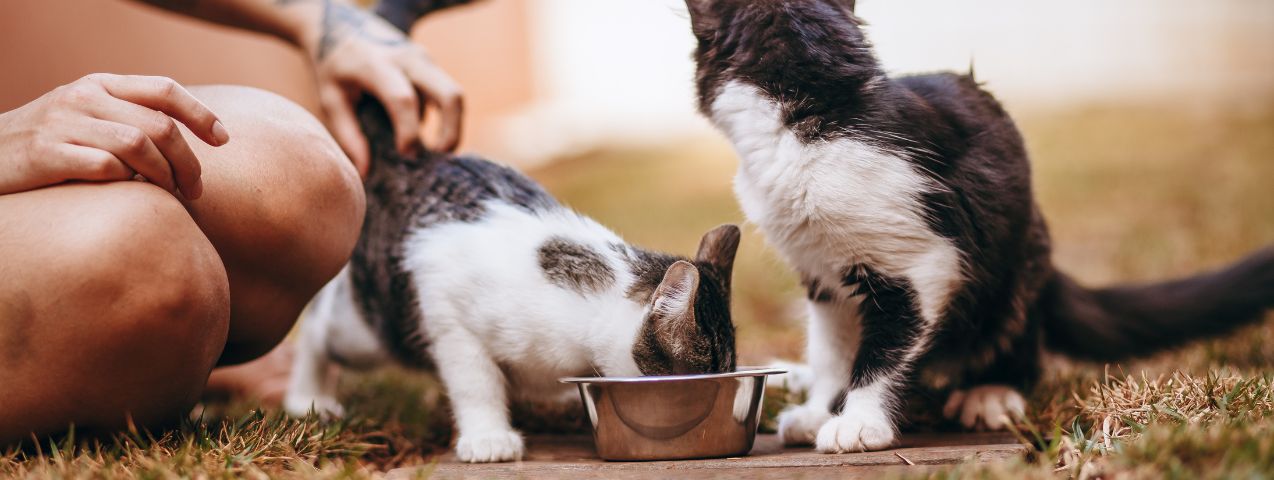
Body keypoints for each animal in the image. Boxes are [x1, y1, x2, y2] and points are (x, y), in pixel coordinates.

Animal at [280, 99, 744, 460]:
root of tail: (407, 156)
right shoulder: (448, 312)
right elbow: (475, 381)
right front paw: (488, 436)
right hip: (372, 328)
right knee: (320, 325)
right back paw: (308, 397)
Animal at [687, 0, 1274, 453]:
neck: (819, 114)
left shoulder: (927, 262)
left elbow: (885, 349)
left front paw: (858, 419)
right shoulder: (822, 270)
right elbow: (832, 345)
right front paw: (819, 406)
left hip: (1017, 266)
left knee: (1017, 340)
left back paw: (991, 392)